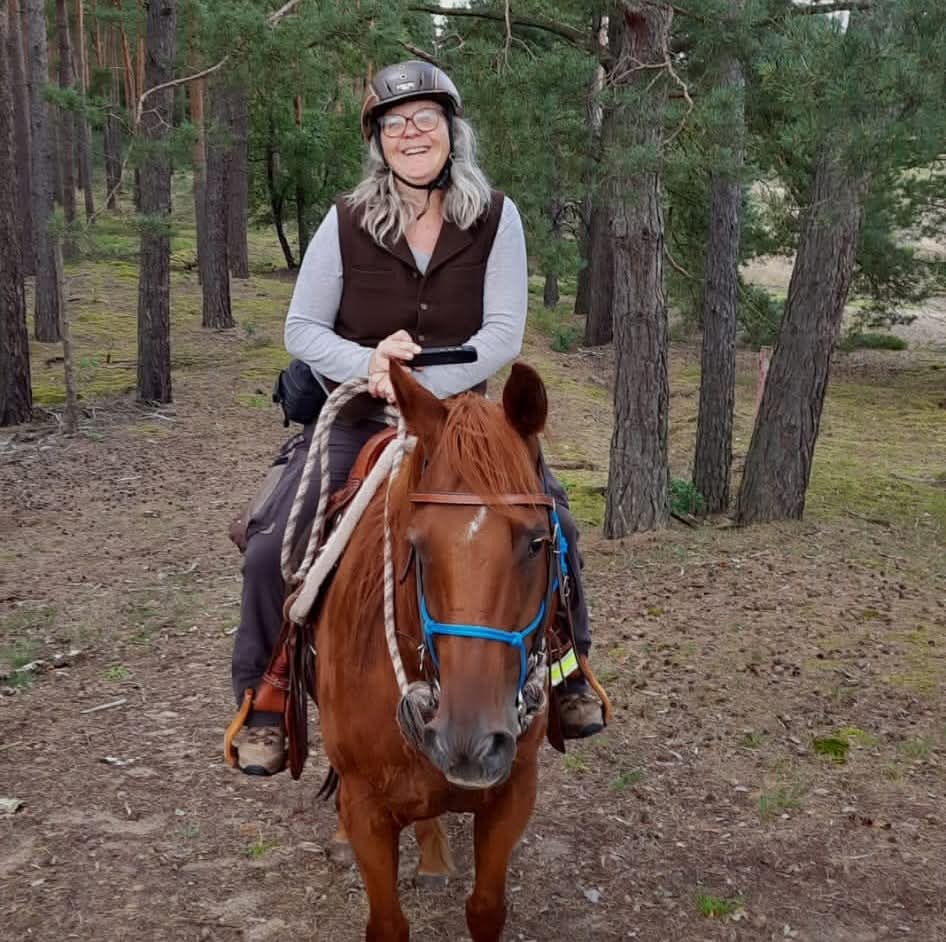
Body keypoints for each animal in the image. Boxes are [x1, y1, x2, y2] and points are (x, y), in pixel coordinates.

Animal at [313, 360, 557, 941]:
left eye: (536, 542)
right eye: (415, 545)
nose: (469, 742)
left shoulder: (514, 793)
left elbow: (486, 909)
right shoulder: (367, 812)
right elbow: (387, 925)